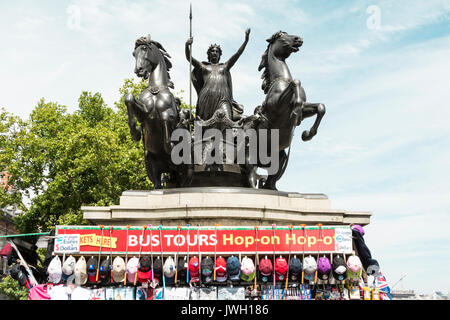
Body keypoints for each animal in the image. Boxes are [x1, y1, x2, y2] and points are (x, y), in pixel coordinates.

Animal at [124, 35, 180, 189]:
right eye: (133, 54)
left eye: (144, 48)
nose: (139, 70)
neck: (156, 89)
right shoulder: (144, 114)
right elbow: (129, 98)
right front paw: (136, 132)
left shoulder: (169, 114)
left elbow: (167, 120)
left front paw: (171, 146)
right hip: (151, 163)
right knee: (157, 183)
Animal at [255, 30, 326, 190]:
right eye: (281, 36)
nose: (299, 39)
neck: (282, 80)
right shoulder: (276, 106)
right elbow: (296, 81)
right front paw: (296, 115)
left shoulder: (306, 109)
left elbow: (320, 107)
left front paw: (307, 134)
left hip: (279, 158)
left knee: (271, 180)